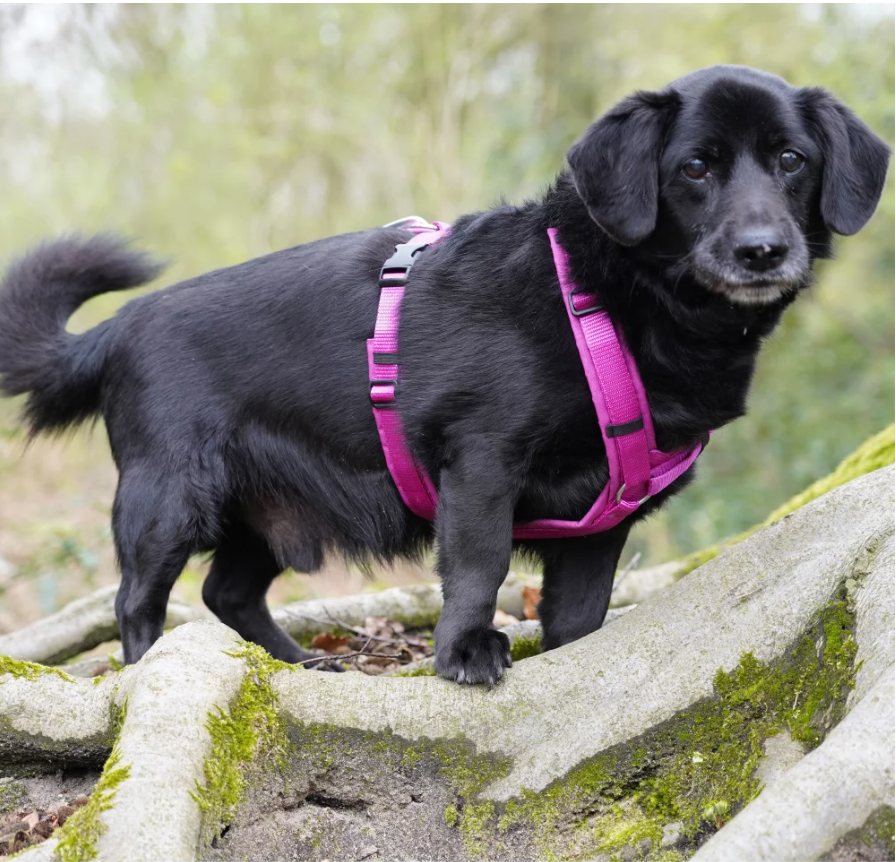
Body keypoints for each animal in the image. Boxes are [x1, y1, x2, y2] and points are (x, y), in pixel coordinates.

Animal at [0, 67, 884, 684]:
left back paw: (296, 664)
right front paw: (465, 652)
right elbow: (479, 564)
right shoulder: (482, 463)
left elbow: (579, 615)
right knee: (137, 601)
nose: (763, 250)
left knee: (229, 593)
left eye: (791, 160)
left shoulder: (603, 518)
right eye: (696, 168)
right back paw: (147, 670)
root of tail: (117, 327)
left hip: (269, 511)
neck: (601, 300)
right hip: (168, 500)